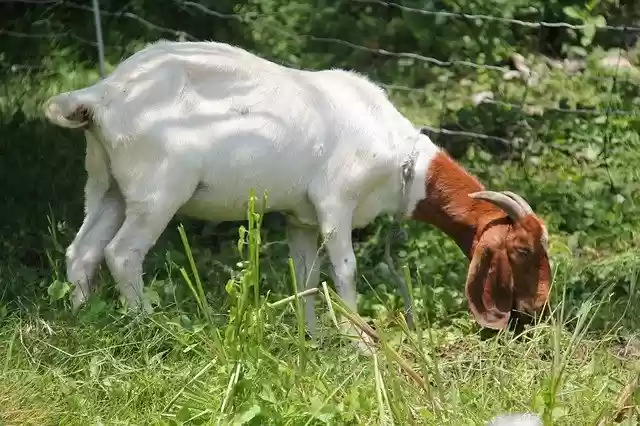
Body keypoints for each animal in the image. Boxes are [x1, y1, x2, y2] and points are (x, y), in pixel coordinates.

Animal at [43, 40, 551, 346]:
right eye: (522, 249)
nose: (539, 307)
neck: (399, 156)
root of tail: (102, 95)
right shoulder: (335, 202)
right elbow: (344, 270)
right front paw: (359, 341)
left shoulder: (301, 218)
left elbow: (304, 276)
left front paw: (314, 340)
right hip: (158, 191)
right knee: (122, 252)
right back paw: (149, 327)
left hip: (106, 184)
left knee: (82, 251)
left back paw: (83, 323)